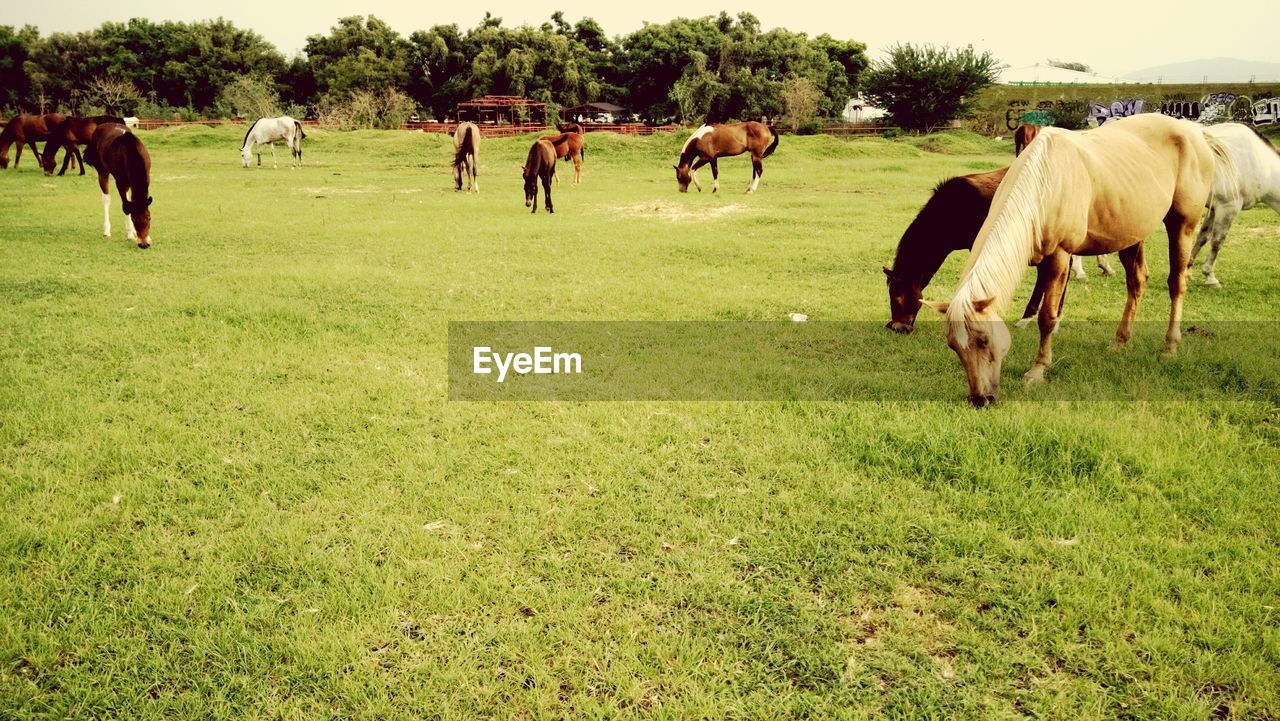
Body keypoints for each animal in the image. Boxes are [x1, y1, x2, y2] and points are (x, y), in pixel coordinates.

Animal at [921, 112, 1228, 407]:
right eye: (953, 346)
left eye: (984, 341)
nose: (980, 399)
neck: (1044, 183)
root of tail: (1194, 132)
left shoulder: (1060, 256)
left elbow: (1047, 316)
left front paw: (1037, 370)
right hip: (1131, 233)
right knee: (1137, 282)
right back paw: (1119, 343)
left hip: (1182, 225)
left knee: (1176, 283)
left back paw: (1169, 347)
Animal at [1187, 122, 1280, 286]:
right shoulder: (1228, 208)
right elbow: (1217, 241)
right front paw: (1210, 277)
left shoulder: (1214, 208)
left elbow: (1203, 237)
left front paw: (1187, 271)